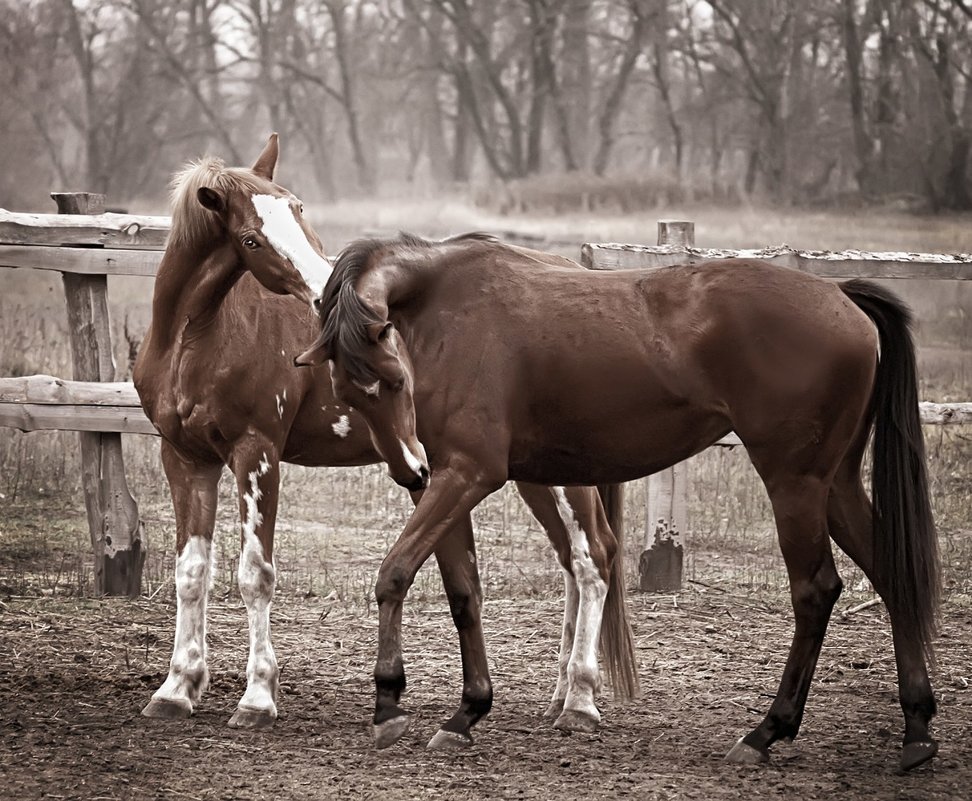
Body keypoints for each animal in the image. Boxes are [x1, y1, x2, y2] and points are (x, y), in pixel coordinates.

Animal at [137, 139, 636, 752]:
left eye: (298, 209)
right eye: (251, 238)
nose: (323, 294)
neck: (196, 339)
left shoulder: (257, 455)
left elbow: (255, 576)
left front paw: (256, 699)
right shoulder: (186, 459)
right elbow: (190, 574)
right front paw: (176, 688)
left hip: (559, 478)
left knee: (593, 560)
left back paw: (582, 701)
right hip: (537, 472)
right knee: (574, 562)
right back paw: (561, 694)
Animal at [296, 231, 940, 768]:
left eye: (395, 381)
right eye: (348, 393)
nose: (409, 469)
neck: (445, 304)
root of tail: (839, 294)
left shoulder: (465, 475)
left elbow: (394, 573)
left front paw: (389, 702)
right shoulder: (447, 480)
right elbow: (463, 594)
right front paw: (468, 710)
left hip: (795, 484)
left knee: (815, 591)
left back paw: (767, 730)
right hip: (834, 485)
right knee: (889, 574)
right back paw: (916, 730)